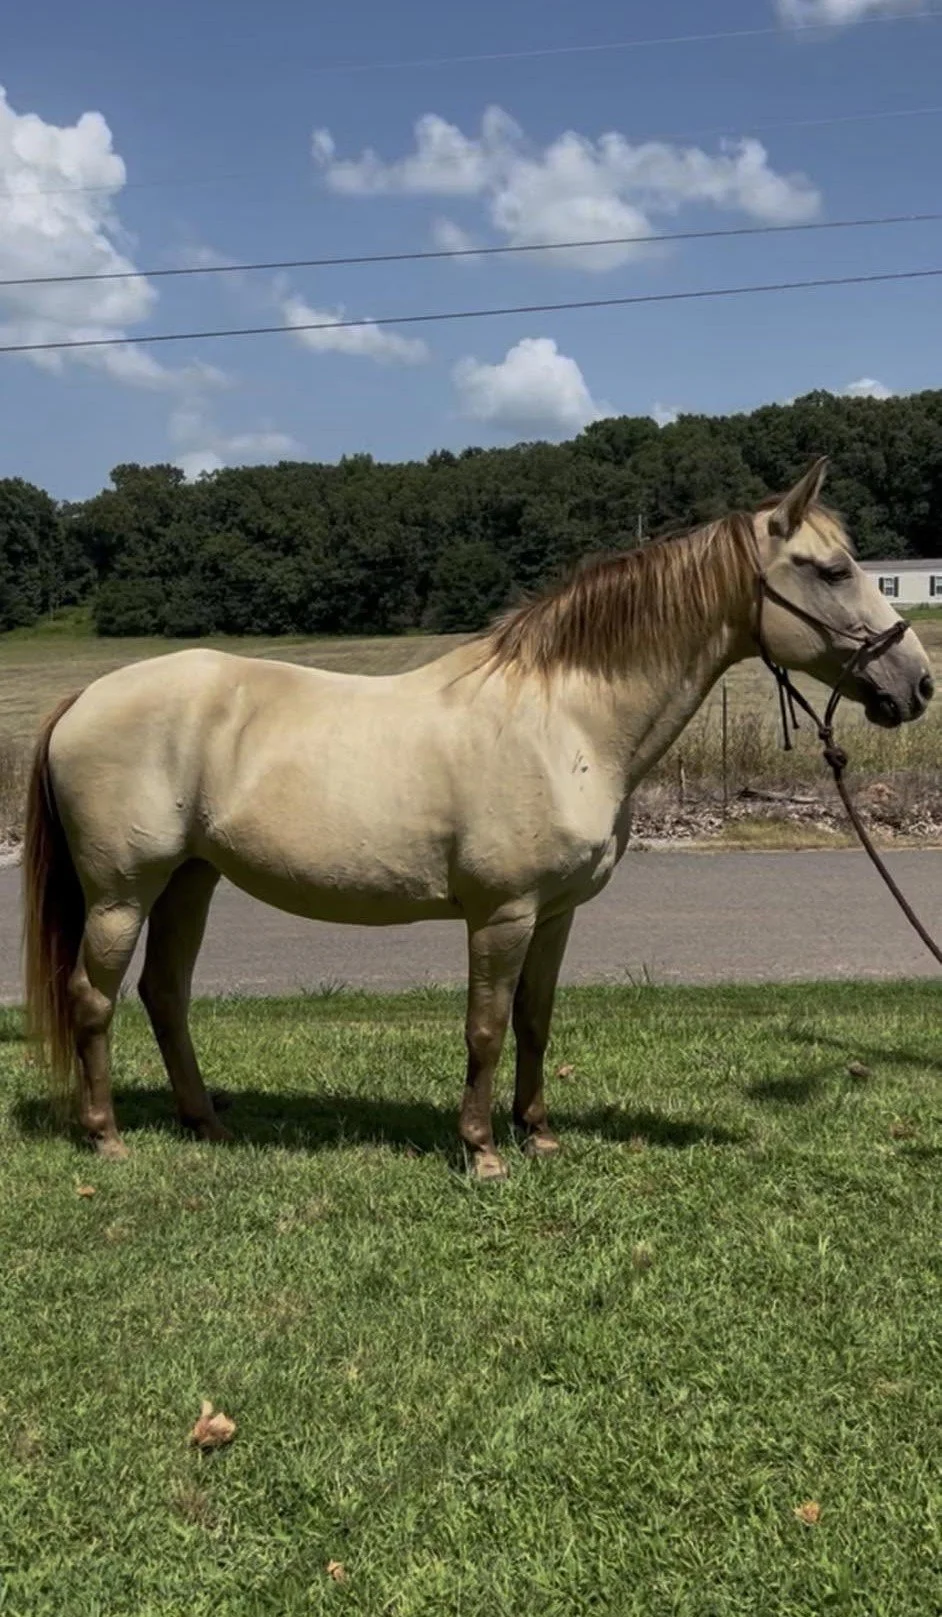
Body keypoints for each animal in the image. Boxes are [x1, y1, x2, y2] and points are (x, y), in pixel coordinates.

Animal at [23, 457, 934, 1180]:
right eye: (831, 569)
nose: (917, 683)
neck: (565, 720)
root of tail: (85, 697)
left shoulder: (555, 914)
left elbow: (534, 1021)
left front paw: (539, 1134)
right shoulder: (502, 913)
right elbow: (487, 1027)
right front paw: (482, 1148)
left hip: (191, 879)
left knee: (165, 993)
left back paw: (205, 1122)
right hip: (122, 893)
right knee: (94, 998)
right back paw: (105, 1136)